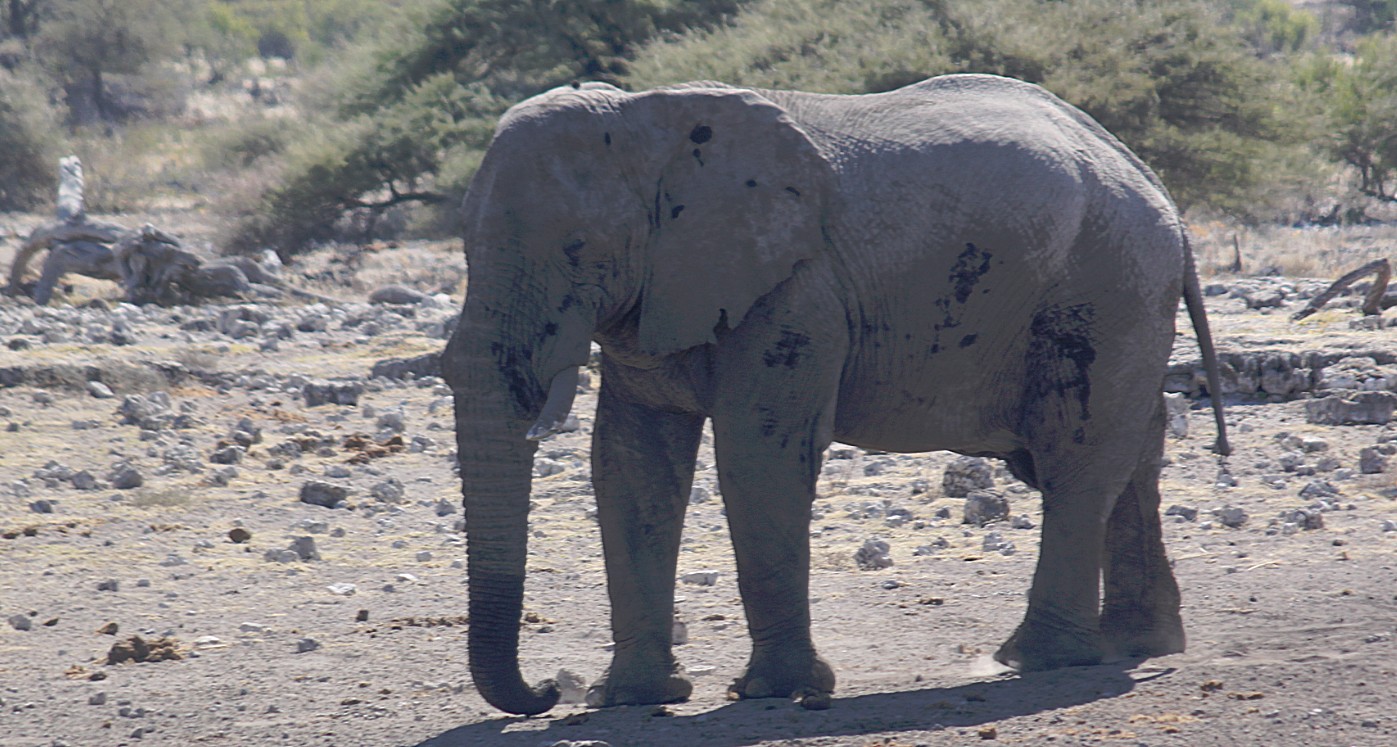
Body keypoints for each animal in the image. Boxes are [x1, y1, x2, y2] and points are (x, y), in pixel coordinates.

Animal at [441, 72, 1229, 714]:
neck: (645, 117)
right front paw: (630, 699)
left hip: (1107, 283)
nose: (549, 689)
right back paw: (1135, 645)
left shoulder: (797, 289)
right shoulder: (660, 295)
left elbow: (757, 452)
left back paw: (1035, 659)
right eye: (464, 246)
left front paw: (777, 691)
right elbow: (632, 465)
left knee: (1074, 456)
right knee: (1128, 455)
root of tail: (1154, 184)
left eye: (577, 248)